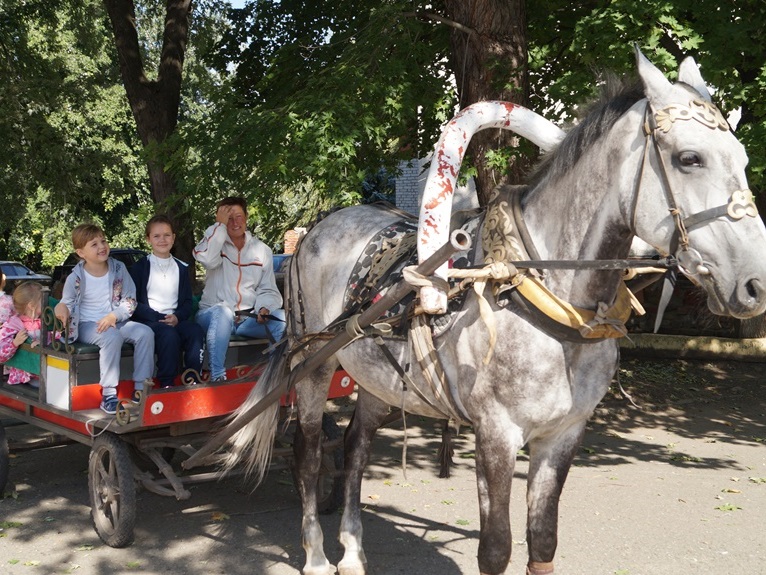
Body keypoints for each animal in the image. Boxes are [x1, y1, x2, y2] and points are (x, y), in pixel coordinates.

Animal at [219, 49, 766, 575]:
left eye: (743, 158)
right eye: (689, 158)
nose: (756, 284)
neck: (546, 299)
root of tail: (319, 226)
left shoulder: (564, 435)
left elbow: (542, 539)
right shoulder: (497, 435)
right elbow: (496, 548)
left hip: (378, 376)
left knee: (355, 450)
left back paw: (352, 552)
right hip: (314, 365)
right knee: (309, 456)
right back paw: (315, 554)